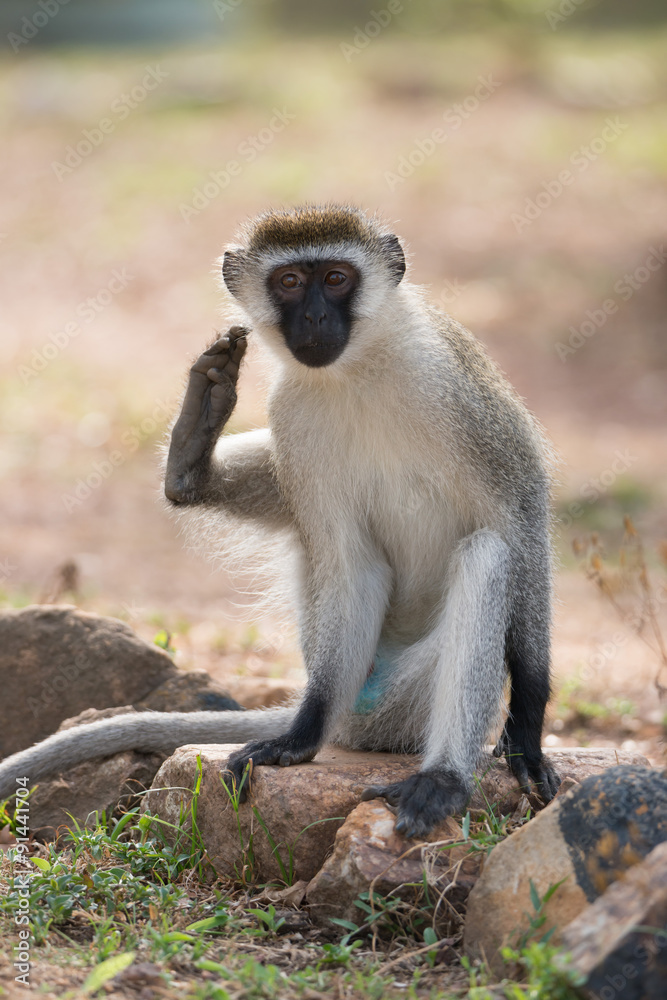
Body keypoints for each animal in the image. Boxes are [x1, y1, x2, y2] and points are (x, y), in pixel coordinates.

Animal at [0, 205, 560, 836]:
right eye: (290, 282)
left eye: (337, 278)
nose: (315, 315)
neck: (357, 371)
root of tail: (355, 722)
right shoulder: (291, 413)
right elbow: (350, 562)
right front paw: (298, 738)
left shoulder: (463, 397)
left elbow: (520, 521)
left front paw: (527, 732)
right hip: (366, 695)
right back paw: (191, 461)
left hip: (400, 701)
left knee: (488, 553)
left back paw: (442, 778)